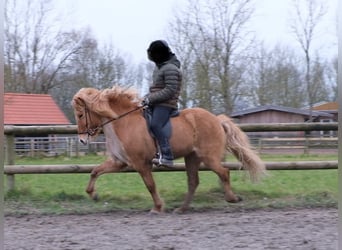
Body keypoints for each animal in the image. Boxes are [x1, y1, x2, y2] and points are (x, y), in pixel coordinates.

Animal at [71, 86, 264, 213]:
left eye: (80, 114)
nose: (82, 140)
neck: (123, 123)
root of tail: (216, 119)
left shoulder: (141, 163)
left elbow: (150, 185)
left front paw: (157, 207)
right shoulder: (120, 162)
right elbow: (95, 172)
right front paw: (93, 195)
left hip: (209, 157)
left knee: (223, 172)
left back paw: (232, 198)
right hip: (192, 157)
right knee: (193, 181)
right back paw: (182, 208)